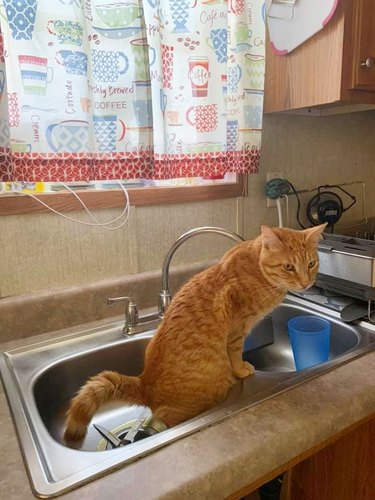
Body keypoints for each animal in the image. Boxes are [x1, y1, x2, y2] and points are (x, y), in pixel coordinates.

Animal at [64, 225, 326, 448]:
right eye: (289, 267)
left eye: (312, 263)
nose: (306, 283)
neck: (257, 268)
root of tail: (144, 383)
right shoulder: (237, 332)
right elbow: (235, 354)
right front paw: (242, 369)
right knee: (165, 418)